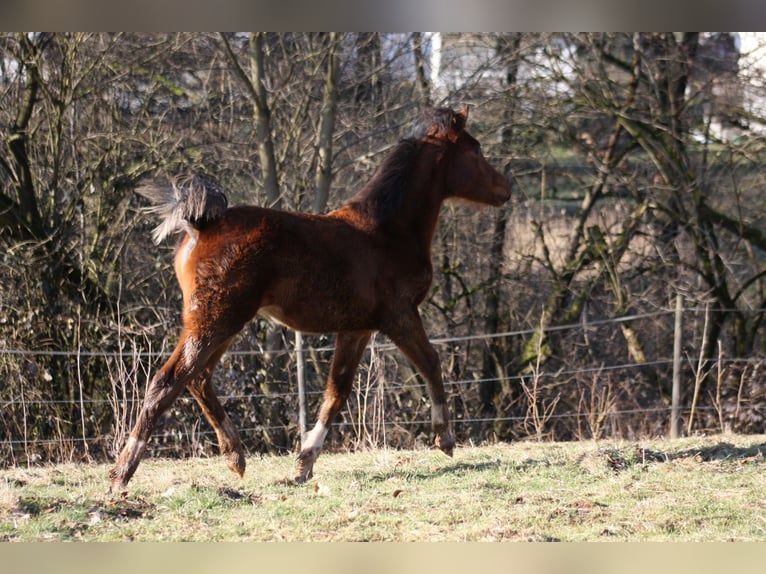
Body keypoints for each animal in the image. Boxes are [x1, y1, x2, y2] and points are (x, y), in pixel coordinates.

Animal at [109, 106, 511, 491]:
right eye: (475, 148)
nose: (506, 189)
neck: (387, 232)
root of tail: (200, 225)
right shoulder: (401, 316)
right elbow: (430, 362)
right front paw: (445, 438)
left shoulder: (357, 329)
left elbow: (336, 393)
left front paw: (303, 463)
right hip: (216, 319)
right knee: (169, 380)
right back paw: (122, 473)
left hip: (221, 323)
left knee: (198, 378)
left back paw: (235, 456)